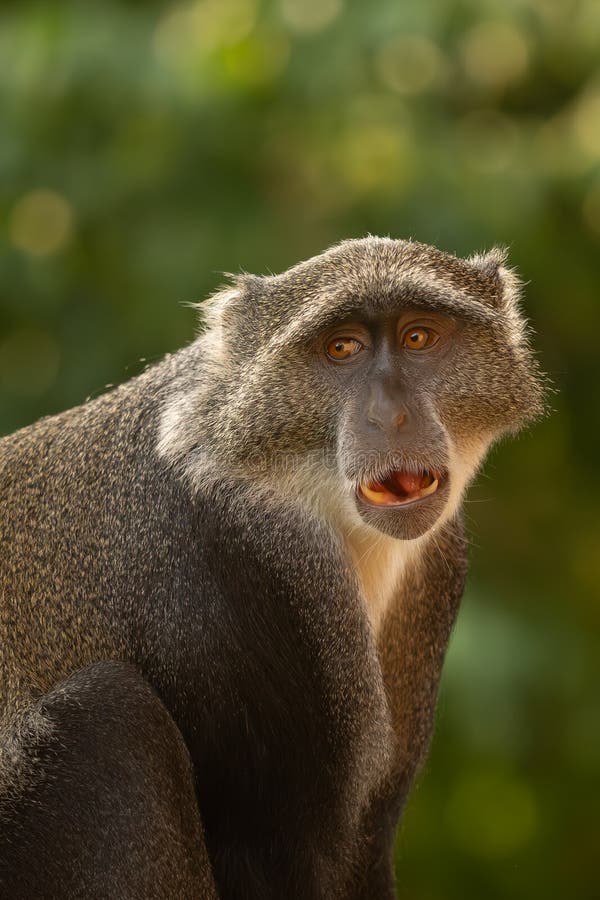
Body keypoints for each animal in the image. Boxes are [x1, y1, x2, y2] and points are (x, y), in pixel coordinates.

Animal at [0, 237, 545, 898]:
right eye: (342, 349)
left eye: (418, 337)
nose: (390, 416)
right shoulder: (244, 563)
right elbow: (270, 858)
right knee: (108, 716)